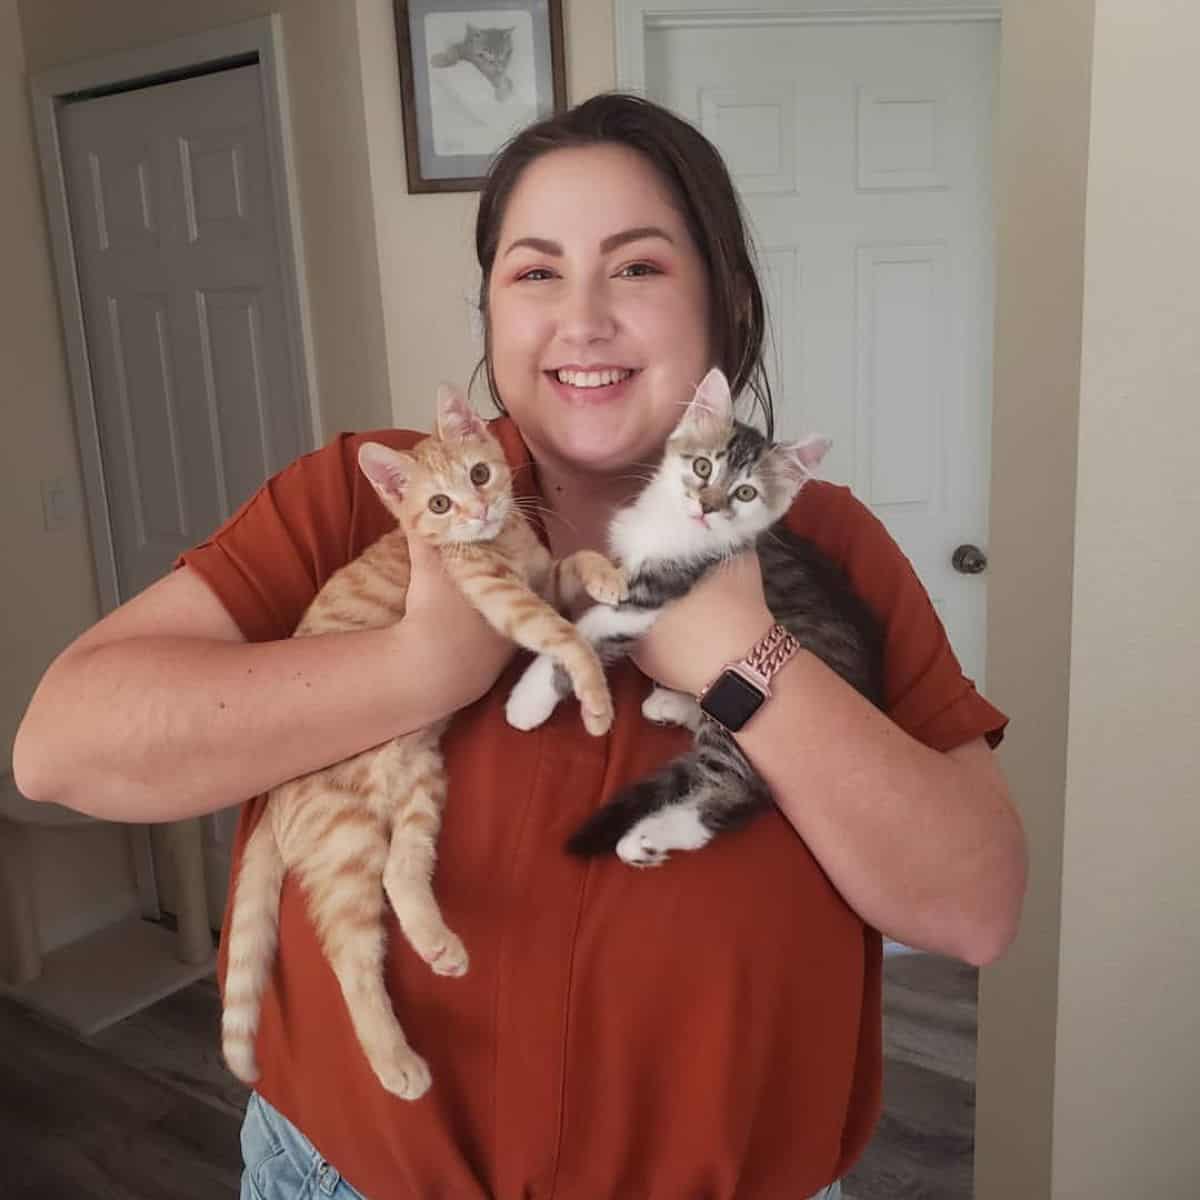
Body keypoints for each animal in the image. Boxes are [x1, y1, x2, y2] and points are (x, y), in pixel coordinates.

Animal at [219, 384, 624, 1099]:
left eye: (481, 473)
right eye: (438, 504)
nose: (479, 508)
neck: (503, 541)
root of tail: (275, 800)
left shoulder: (543, 577)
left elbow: (573, 565)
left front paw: (605, 572)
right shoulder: (500, 598)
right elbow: (563, 635)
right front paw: (595, 697)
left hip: (421, 785)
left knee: (400, 872)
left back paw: (439, 944)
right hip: (345, 840)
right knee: (352, 960)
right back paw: (395, 1061)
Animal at [501, 369, 888, 868]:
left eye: (745, 493)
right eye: (703, 467)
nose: (707, 507)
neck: (674, 528)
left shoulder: (656, 593)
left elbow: (588, 631)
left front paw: (528, 700)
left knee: (735, 789)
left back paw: (647, 839)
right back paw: (671, 705)